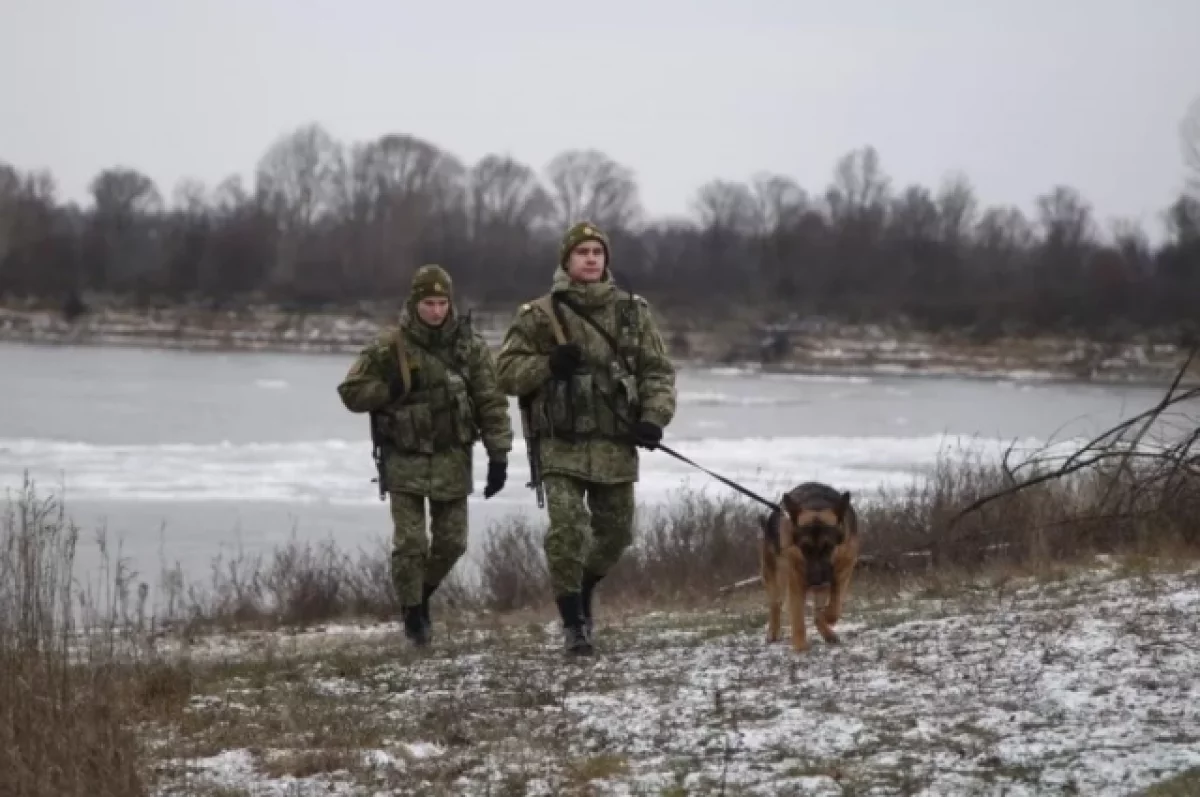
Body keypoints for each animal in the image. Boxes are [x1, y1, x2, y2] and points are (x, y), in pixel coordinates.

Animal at [763, 482, 859, 652]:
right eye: (805, 548)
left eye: (828, 547)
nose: (816, 581)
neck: (817, 506)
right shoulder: (796, 580)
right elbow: (797, 617)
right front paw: (800, 647)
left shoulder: (844, 569)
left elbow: (835, 605)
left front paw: (827, 616)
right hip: (774, 575)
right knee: (775, 604)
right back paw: (772, 632)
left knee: (817, 611)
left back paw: (826, 629)